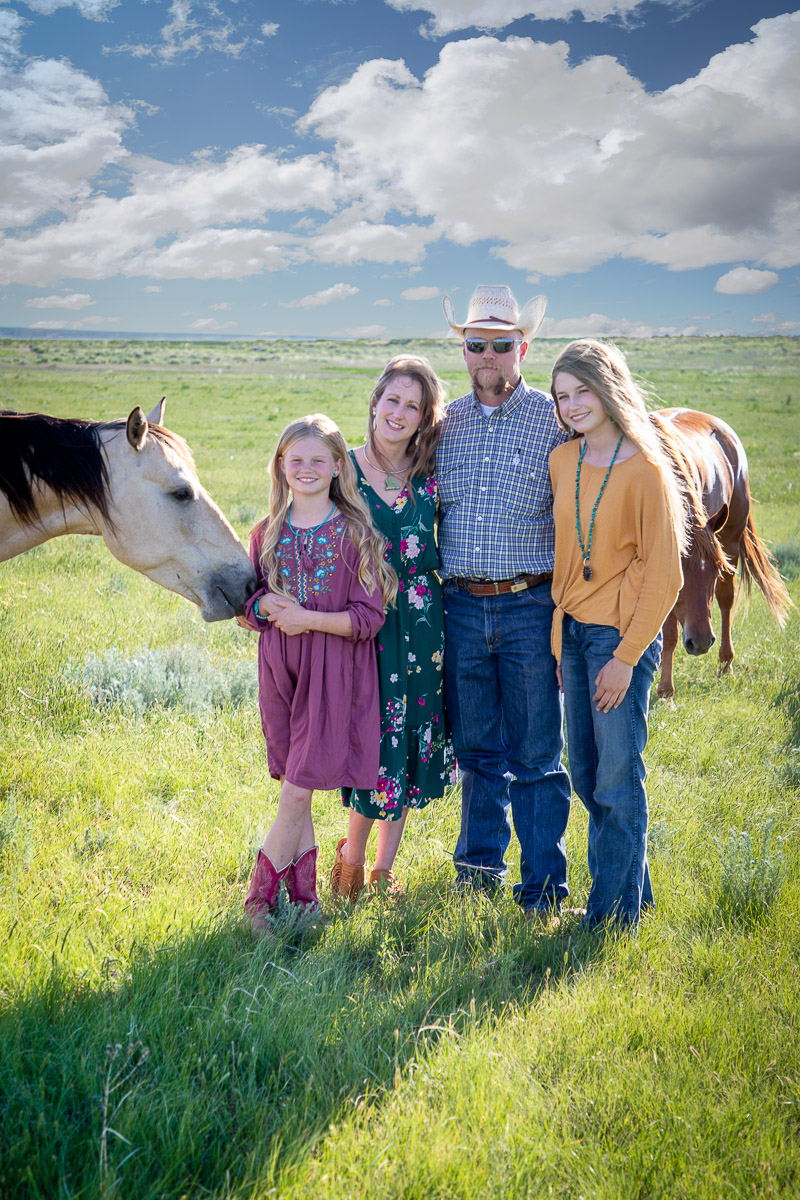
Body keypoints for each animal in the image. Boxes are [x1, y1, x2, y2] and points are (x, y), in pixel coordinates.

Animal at [652, 408, 791, 700]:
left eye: (714, 571)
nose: (701, 641)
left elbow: (668, 634)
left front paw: (665, 690)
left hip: (730, 540)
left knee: (726, 600)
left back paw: (726, 663)